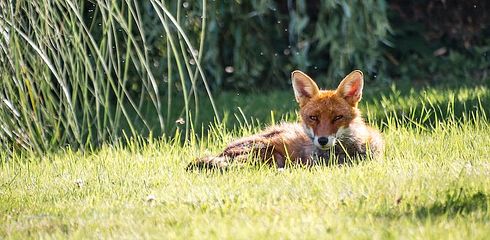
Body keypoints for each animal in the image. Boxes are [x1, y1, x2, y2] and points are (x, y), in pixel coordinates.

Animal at [187, 70, 382, 170]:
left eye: (338, 117)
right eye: (313, 118)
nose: (323, 140)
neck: (344, 153)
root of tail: (222, 151)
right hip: (271, 154)